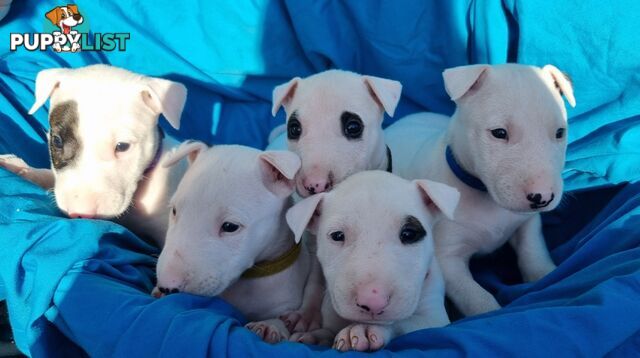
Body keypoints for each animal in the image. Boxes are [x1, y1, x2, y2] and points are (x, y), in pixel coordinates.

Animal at [155, 141, 316, 342]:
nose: (167, 286)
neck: (251, 277)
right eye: (174, 211)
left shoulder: (288, 301)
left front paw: (269, 326)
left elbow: (281, 318)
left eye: (230, 226)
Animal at [284, 169, 460, 352]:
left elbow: (404, 323)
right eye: (337, 235)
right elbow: (328, 329)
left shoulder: (436, 319)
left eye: (409, 234)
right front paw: (315, 336)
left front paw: (364, 329)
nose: (373, 302)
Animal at [382, 64, 576, 316]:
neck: (485, 195)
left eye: (560, 132)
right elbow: (477, 299)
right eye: (499, 133)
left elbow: (533, 251)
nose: (542, 197)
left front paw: (546, 275)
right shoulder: (447, 259)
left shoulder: (527, 223)